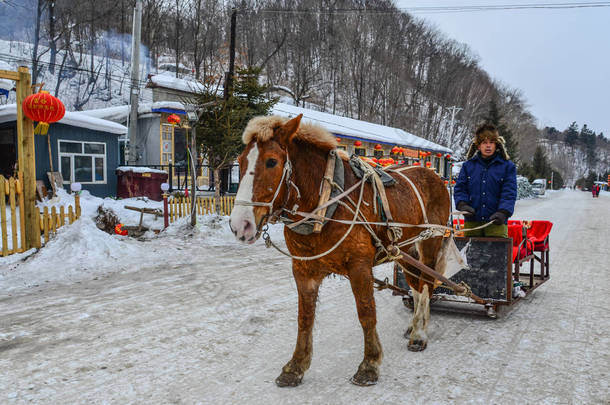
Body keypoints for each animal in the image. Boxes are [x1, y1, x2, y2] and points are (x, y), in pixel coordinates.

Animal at [230, 113, 448, 386]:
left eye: (272, 161)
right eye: (240, 161)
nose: (241, 224)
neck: (324, 203)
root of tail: (433, 173)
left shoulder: (359, 266)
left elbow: (366, 313)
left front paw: (369, 364)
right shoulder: (303, 270)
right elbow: (304, 317)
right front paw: (296, 365)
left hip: (430, 242)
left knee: (427, 282)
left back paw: (419, 333)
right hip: (404, 248)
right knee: (415, 283)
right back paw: (415, 324)